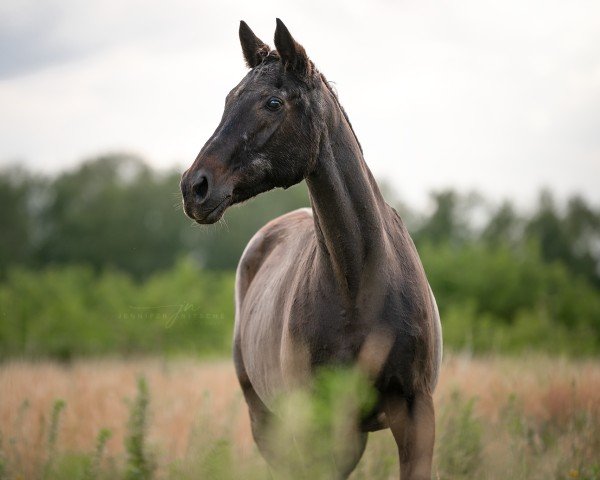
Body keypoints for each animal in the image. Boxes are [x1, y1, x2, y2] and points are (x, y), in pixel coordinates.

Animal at [180, 19, 442, 480]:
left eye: (273, 102)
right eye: (229, 99)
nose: (195, 187)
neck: (362, 283)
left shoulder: (416, 412)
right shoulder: (318, 424)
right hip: (269, 421)